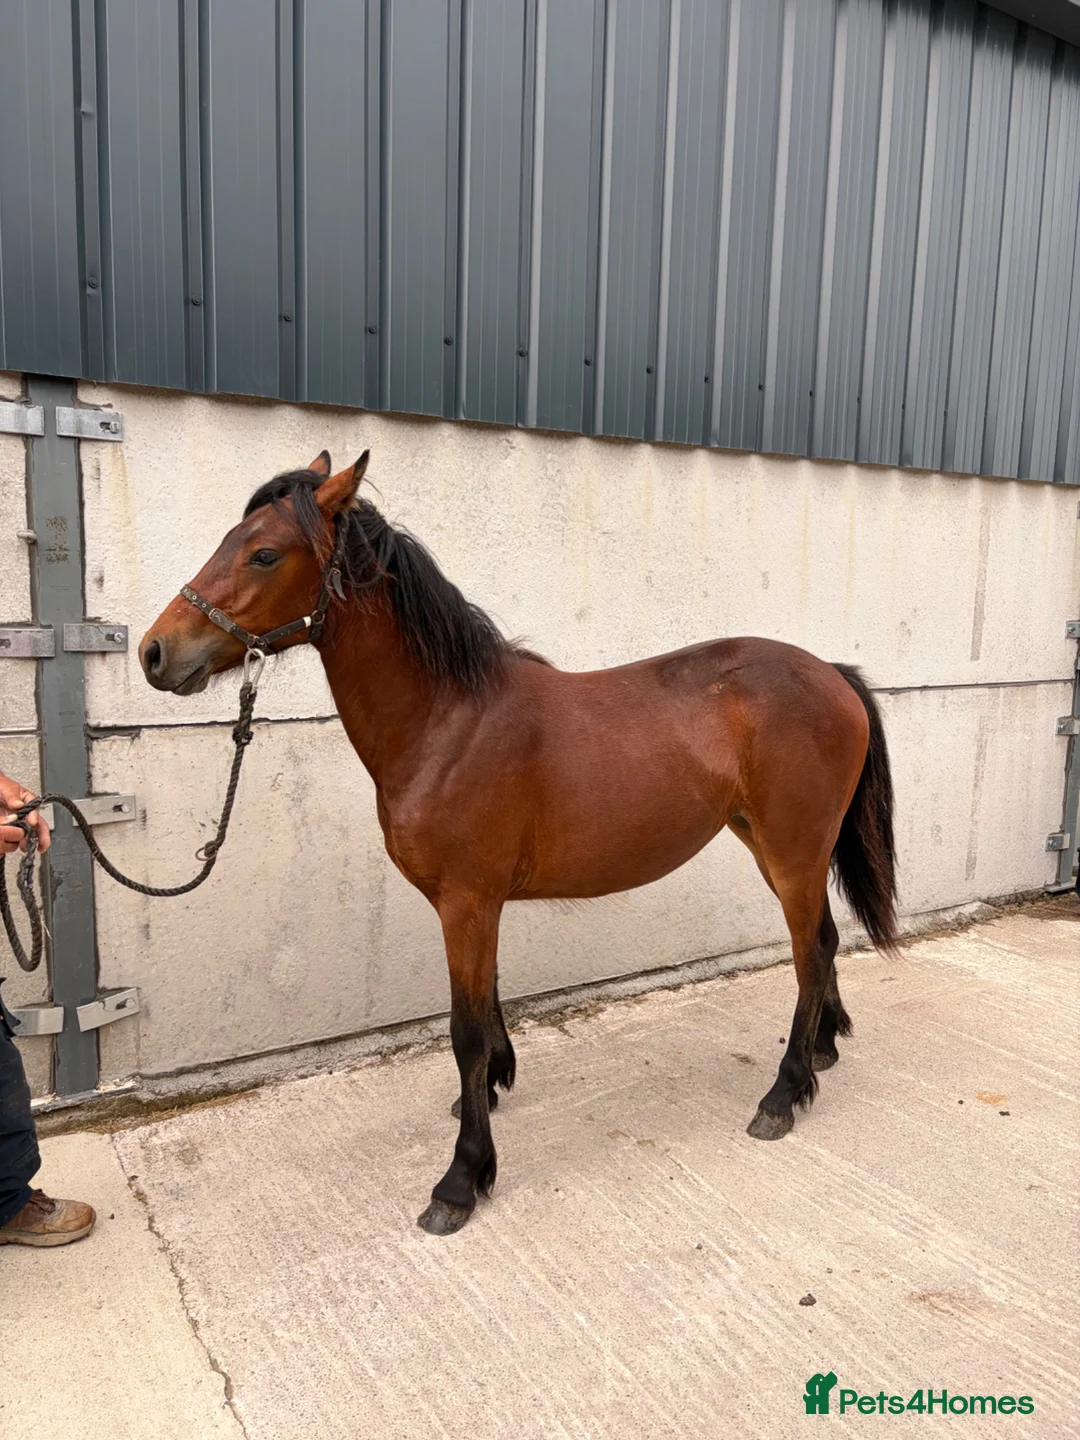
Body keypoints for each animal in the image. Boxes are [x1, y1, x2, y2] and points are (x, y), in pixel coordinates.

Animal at [140, 451, 897, 1236]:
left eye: (263, 552)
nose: (155, 652)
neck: (446, 721)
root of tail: (833, 674)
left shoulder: (467, 901)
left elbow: (465, 1032)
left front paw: (461, 1179)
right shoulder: (476, 903)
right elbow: (490, 1004)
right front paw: (493, 1088)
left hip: (792, 850)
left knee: (811, 951)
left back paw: (783, 1095)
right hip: (777, 848)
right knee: (822, 944)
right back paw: (822, 1052)